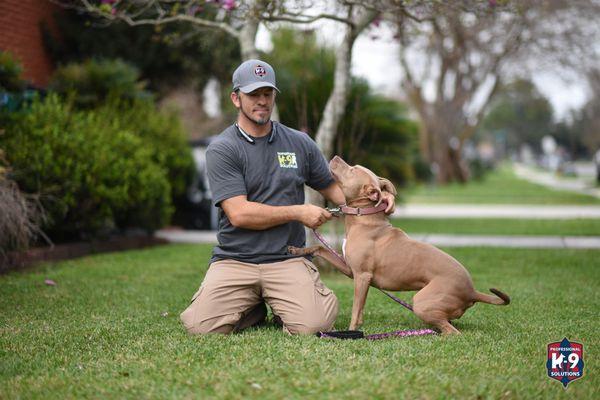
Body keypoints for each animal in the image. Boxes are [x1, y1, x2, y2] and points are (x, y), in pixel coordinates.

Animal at [288, 156, 508, 334]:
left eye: (352, 170)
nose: (334, 156)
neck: (363, 218)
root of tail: (472, 291)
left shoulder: (362, 276)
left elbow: (356, 310)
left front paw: (351, 332)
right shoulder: (350, 269)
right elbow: (320, 248)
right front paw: (296, 250)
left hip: (422, 302)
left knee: (452, 332)